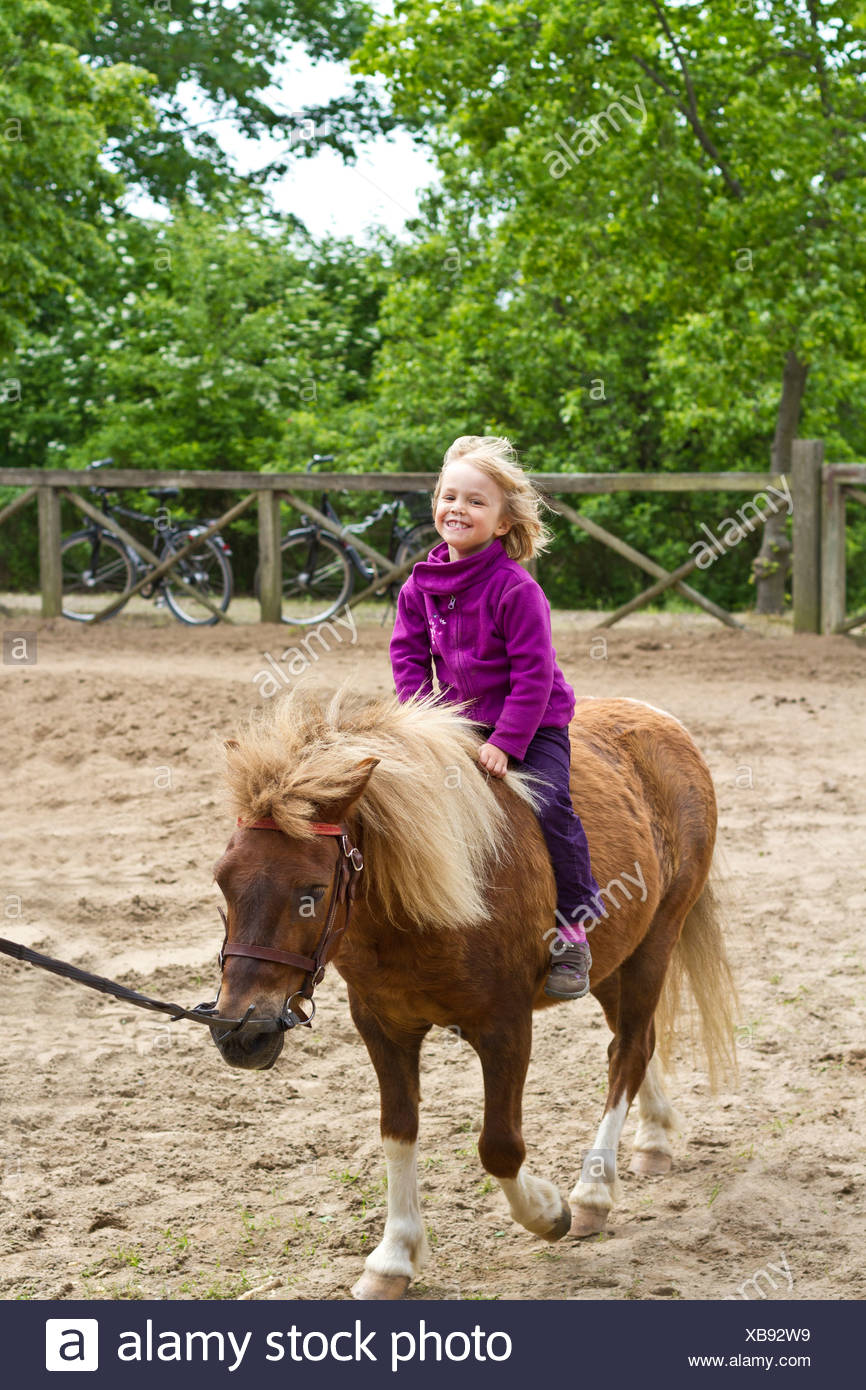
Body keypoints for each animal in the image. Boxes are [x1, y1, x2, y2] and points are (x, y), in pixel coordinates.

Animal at [210, 682, 736, 1300]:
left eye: (311, 891)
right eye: (222, 880)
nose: (239, 1031)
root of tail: (662, 722)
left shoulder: (505, 1026)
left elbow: (500, 1146)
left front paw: (549, 1212)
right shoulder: (382, 1026)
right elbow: (398, 1131)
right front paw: (393, 1259)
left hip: (656, 940)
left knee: (627, 1052)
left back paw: (592, 1194)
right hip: (617, 959)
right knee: (639, 1043)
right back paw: (653, 1141)